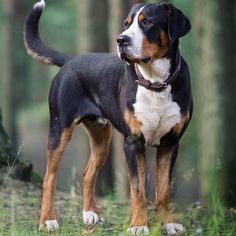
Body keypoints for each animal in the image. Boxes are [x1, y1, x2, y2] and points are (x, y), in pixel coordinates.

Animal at [24, 0, 193, 235]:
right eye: (126, 23)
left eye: (147, 22)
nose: (121, 40)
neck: (155, 83)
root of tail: (71, 60)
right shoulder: (133, 143)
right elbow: (138, 189)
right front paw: (139, 224)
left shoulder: (170, 143)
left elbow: (164, 188)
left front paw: (169, 222)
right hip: (60, 130)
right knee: (49, 178)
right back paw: (48, 220)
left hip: (102, 137)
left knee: (88, 174)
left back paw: (90, 214)